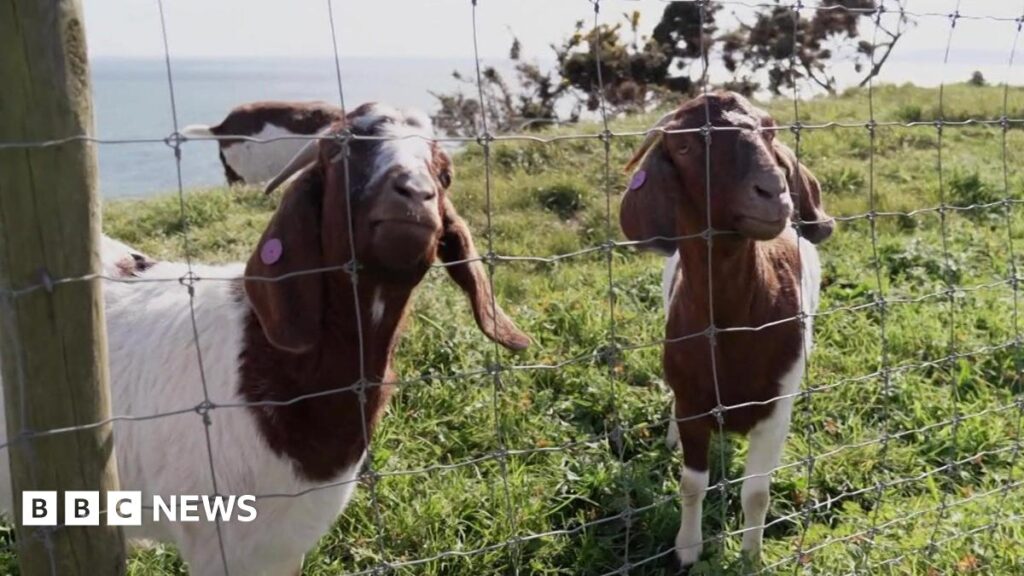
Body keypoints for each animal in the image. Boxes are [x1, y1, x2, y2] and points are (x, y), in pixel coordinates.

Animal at [619, 92, 834, 567]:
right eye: (683, 147)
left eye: (770, 131)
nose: (772, 191)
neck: (731, 327)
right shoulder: (693, 403)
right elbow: (691, 483)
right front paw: (687, 549)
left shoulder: (775, 411)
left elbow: (756, 493)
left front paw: (751, 556)